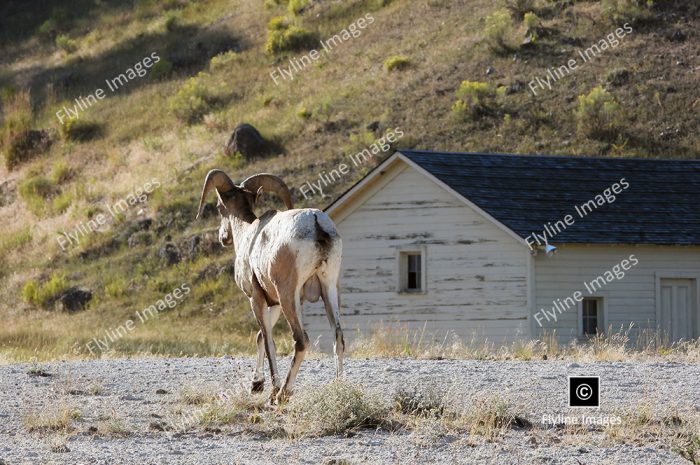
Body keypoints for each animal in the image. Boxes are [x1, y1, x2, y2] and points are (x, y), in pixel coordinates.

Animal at [197, 169, 344, 402]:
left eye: (220, 207)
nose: (223, 238)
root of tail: (316, 223)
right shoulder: (273, 303)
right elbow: (259, 337)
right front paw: (256, 384)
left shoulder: (256, 298)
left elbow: (267, 340)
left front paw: (270, 390)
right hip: (329, 287)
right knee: (338, 335)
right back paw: (339, 387)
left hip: (288, 295)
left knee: (301, 340)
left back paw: (282, 394)